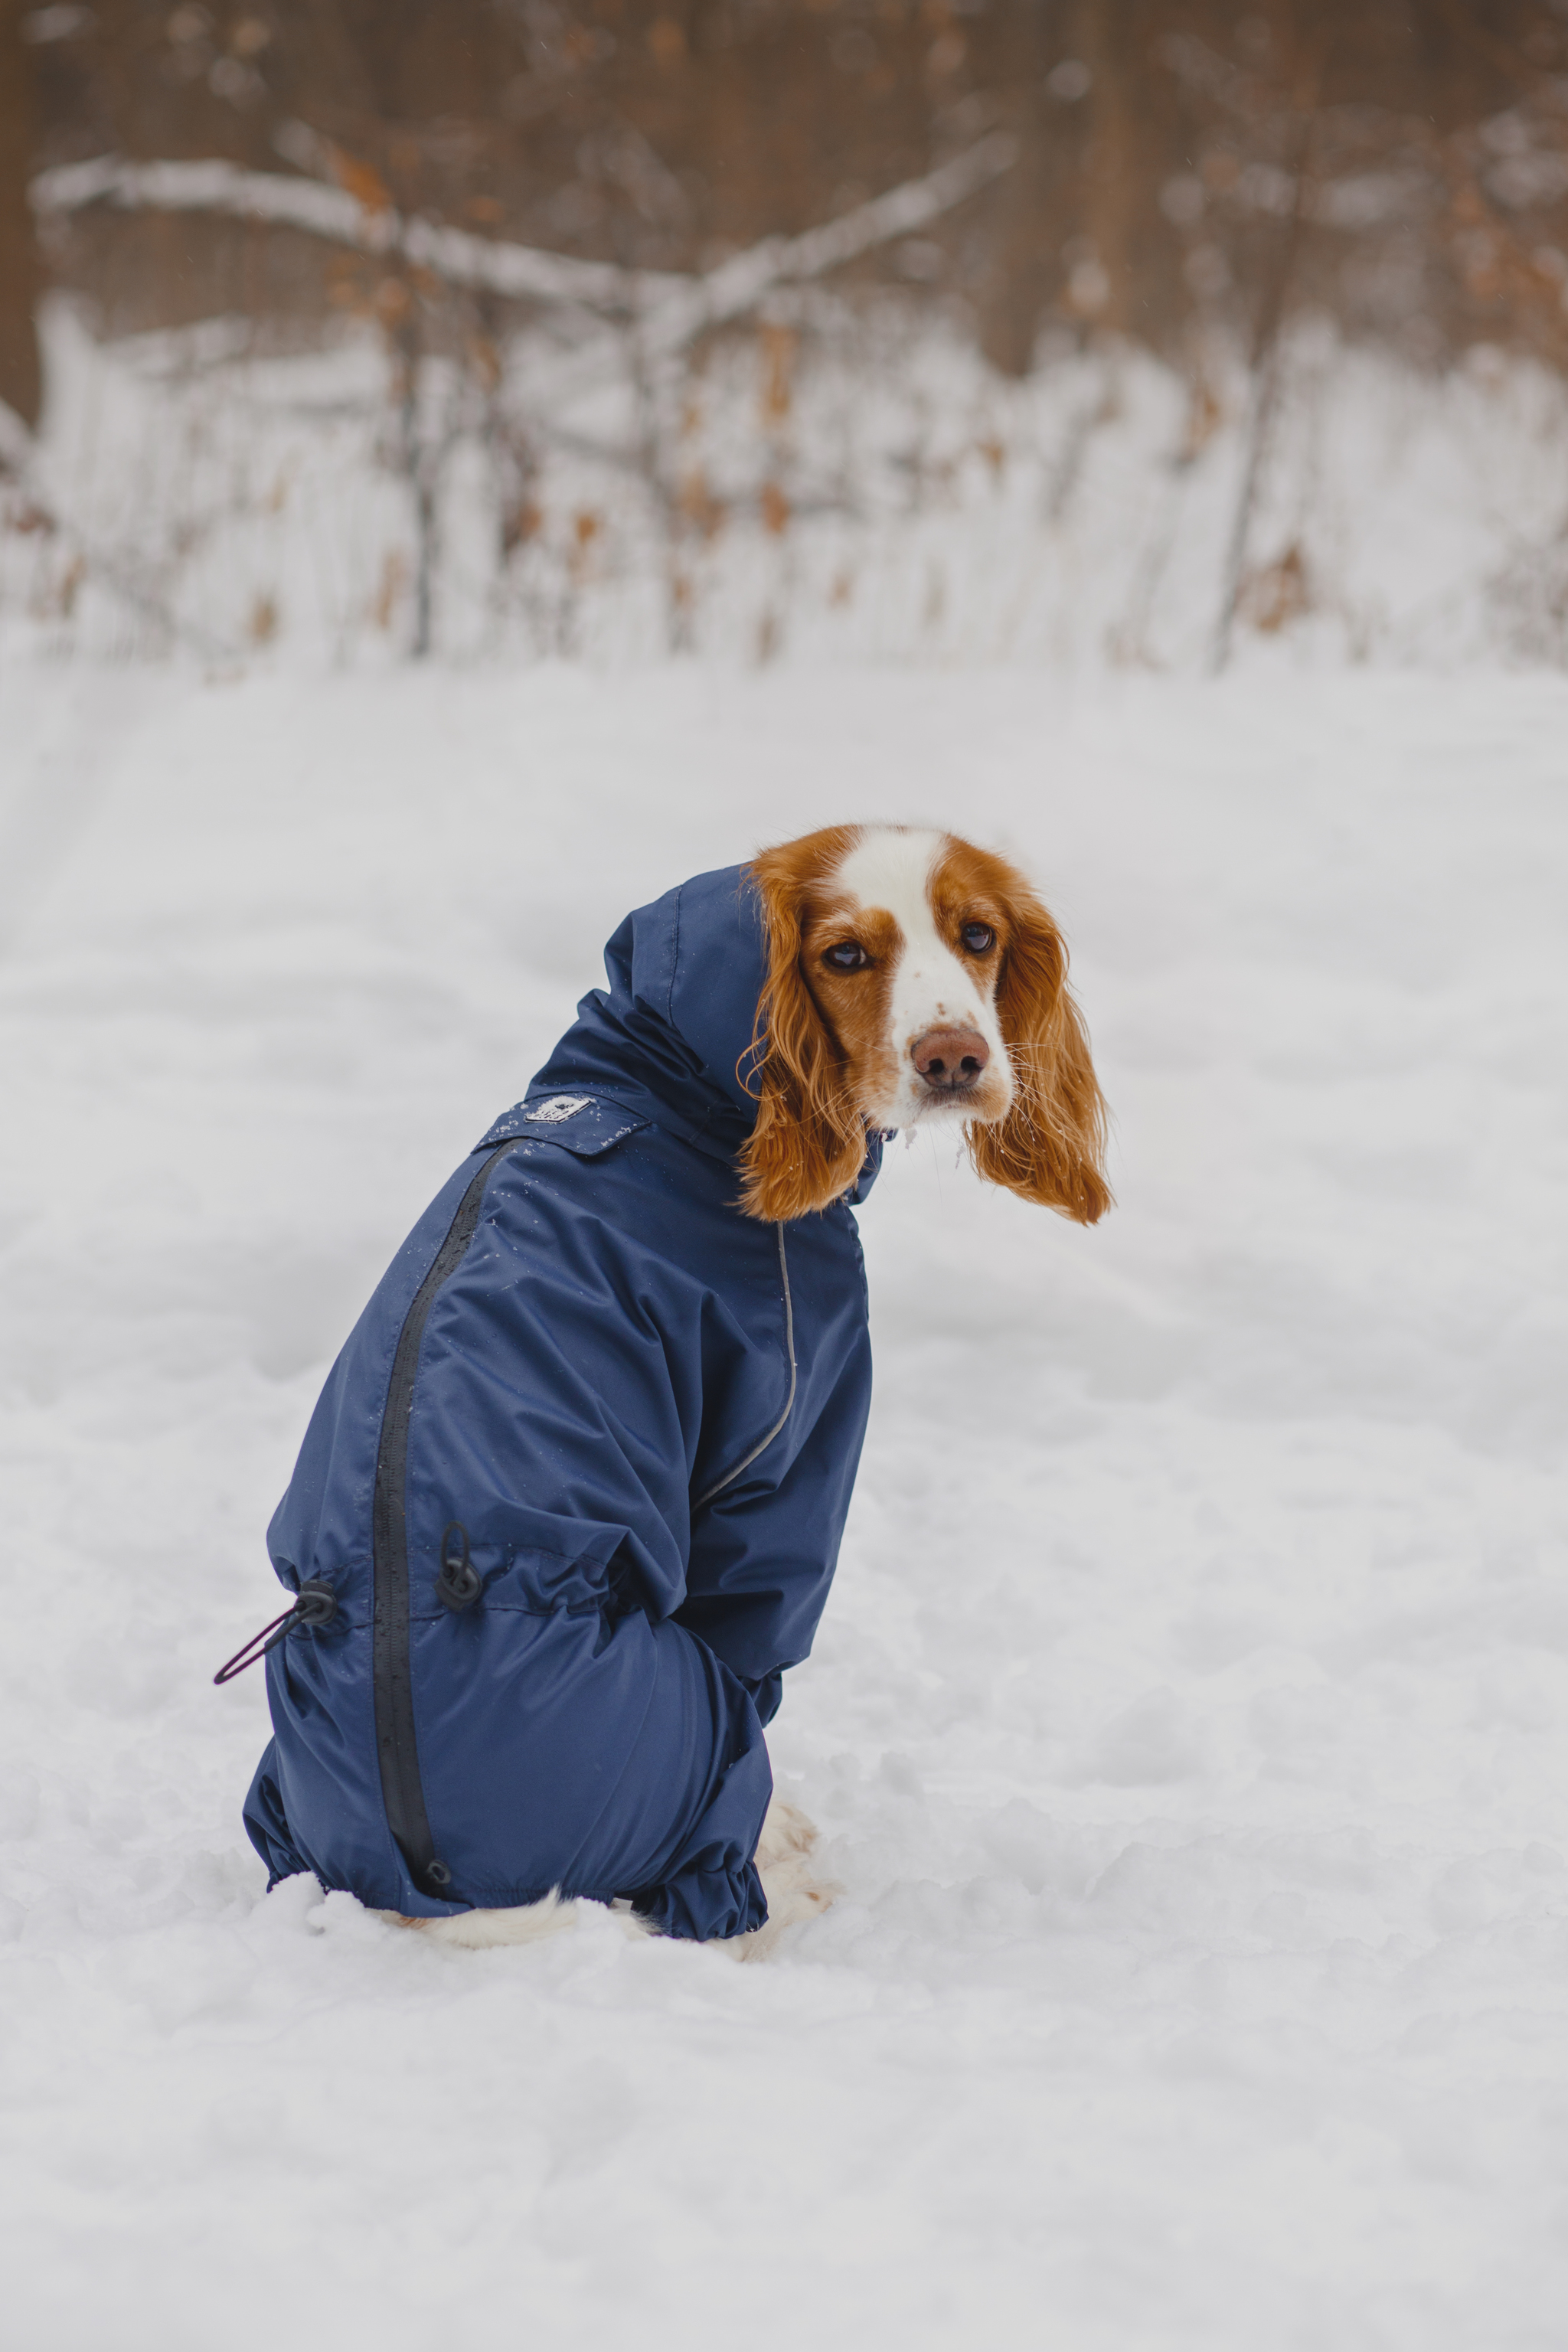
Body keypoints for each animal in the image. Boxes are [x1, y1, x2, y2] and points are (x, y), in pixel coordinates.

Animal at [232, 828, 1109, 1966]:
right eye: (843, 956)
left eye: (978, 936)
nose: (954, 1058)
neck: (671, 1096)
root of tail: (437, 1890)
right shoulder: (783, 1448)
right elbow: (760, 1635)